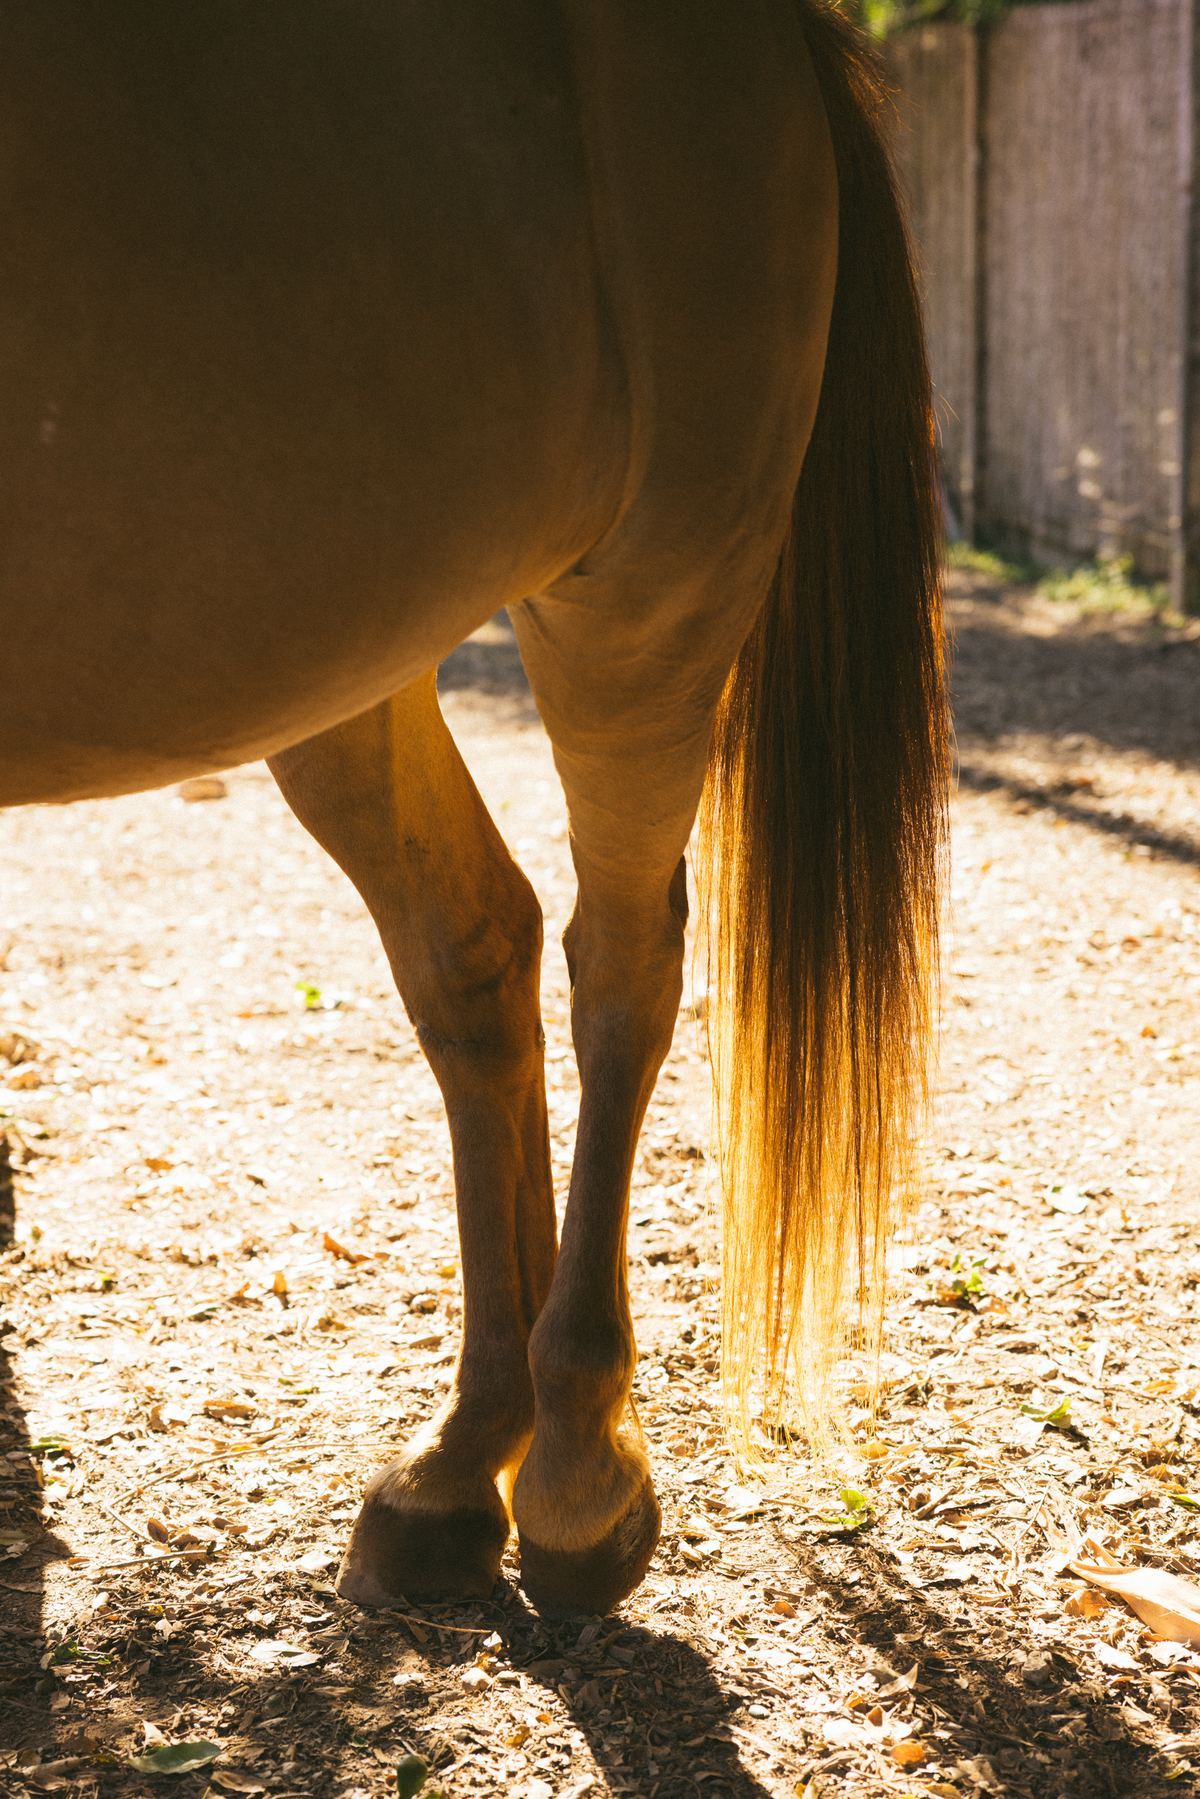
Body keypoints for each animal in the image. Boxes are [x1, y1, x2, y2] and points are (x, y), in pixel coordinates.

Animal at [0, 0, 948, 1617]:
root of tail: (770, 40)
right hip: (345, 653)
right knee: (477, 951)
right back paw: (462, 1463)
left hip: (645, 598)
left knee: (620, 963)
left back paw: (570, 1468)